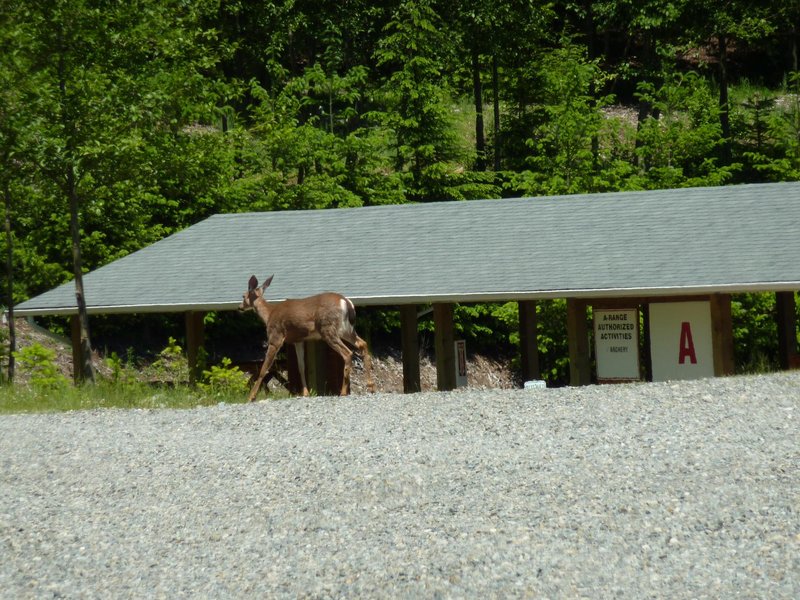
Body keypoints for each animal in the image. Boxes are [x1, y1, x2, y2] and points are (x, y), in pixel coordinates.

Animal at [239, 274, 376, 400]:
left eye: (243, 296)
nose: (240, 307)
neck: (269, 315)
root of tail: (346, 302)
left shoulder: (276, 336)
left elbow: (264, 368)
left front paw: (251, 397)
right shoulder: (298, 340)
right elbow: (301, 366)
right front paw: (305, 393)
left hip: (328, 328)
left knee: (347, 353)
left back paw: (343, 392)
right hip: (346, 329)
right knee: (363, 343)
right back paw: (371, 386)